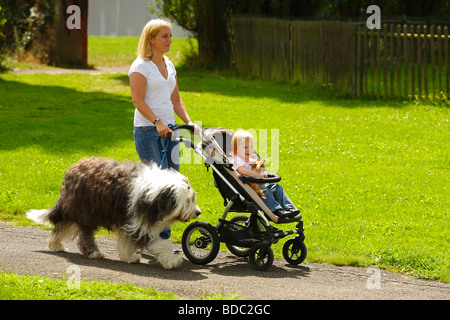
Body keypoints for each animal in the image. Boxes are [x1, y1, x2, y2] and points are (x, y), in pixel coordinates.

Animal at [25, 159, 200, 268]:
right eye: (188, 200)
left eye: (192, 198)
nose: (198, 212)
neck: (155, 195)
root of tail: (71, 171)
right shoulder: (139, 224)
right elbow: (160, 243)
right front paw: (173, 260)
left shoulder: (129, 222)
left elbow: (126, 242)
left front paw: (129, 257)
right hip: (85, 212)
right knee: (84, 234)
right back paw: (94, 252)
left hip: (75, 209)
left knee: (62, 226)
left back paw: (55, 245)